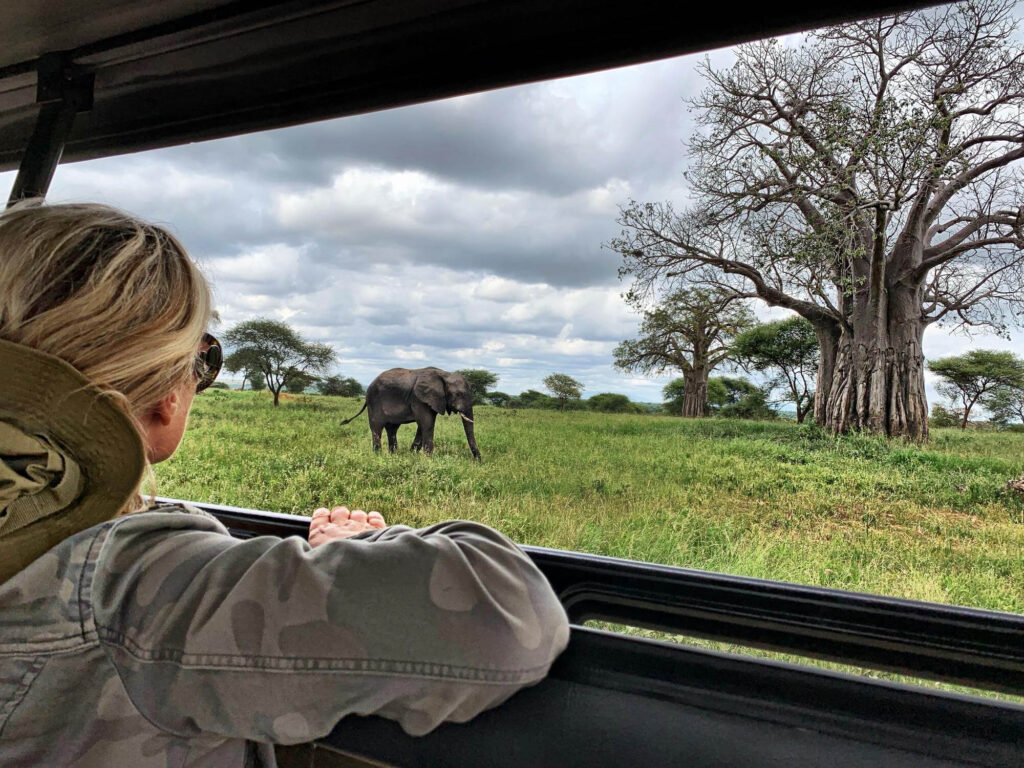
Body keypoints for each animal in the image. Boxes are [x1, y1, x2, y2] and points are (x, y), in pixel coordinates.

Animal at [340, 367, 481, 459]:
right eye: (458, 394)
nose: (478, 461)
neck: (445, 374)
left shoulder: (432, 400)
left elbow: (423, 425)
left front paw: (412, 454)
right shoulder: (419, 398)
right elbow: (427, 423)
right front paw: (428, 458)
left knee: (392, 429)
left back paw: (393, 455)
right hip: (374, 402)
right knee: (377, 427)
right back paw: (378, 455)